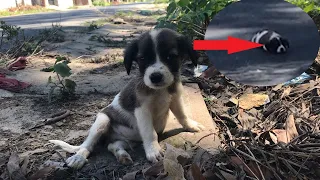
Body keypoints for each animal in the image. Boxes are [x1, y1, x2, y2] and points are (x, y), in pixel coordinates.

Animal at [49, 27, 206, 169]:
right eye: (142, 59)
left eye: (170, 56)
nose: (155, 77)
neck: (159, 91)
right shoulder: (142, 110)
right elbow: (150, 133)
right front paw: (153, 151)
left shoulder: (174, 99)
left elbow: (182, 115)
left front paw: (191, 125)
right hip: (102, 121)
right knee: (87, 146)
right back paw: (78, 158)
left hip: (125, 140)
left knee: (112, 146)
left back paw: (122, 156)